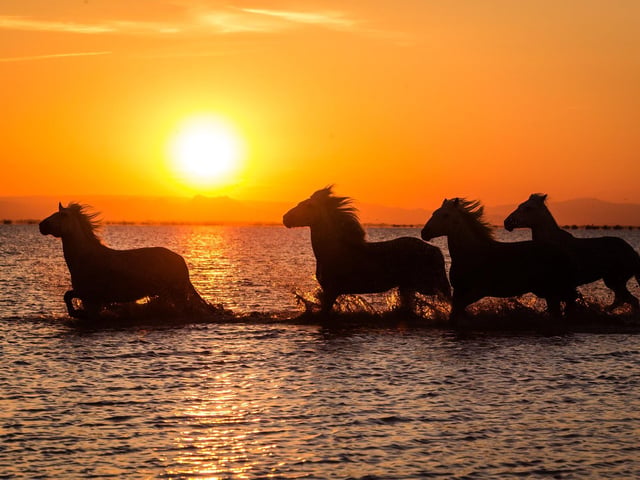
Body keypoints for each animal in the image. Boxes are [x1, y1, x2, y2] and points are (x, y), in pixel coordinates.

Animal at [39, 202, 213, 319]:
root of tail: (179, 259)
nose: (42, 225)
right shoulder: (88, 297)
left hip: (176, 293)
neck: (85, 258)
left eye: (64, 215)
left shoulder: (91, 296)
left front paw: (76, 312)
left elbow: (68, 297)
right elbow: (67, 296)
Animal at [282, 187, 451, 314]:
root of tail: (436, 250)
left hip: (429, 285)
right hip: (408, 286)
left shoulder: (332, 290)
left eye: (308, 206)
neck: (333, 251)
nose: (285, 218)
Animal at [421, 198, 579, 321]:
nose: (424, 232)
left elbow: (457, 312)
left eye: (445, 215)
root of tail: (564, 252)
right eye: (434, 213)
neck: (471, 254)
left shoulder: (478, 291)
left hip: (555, 290)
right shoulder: (459, 291)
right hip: (549, 292)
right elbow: (455, 312)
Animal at [504, 193, 640, 311]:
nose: (507, 223)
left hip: (615, 281)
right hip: (614, 282)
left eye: (528, 208)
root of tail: (633, 252)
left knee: (631, 301)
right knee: (622, 301)